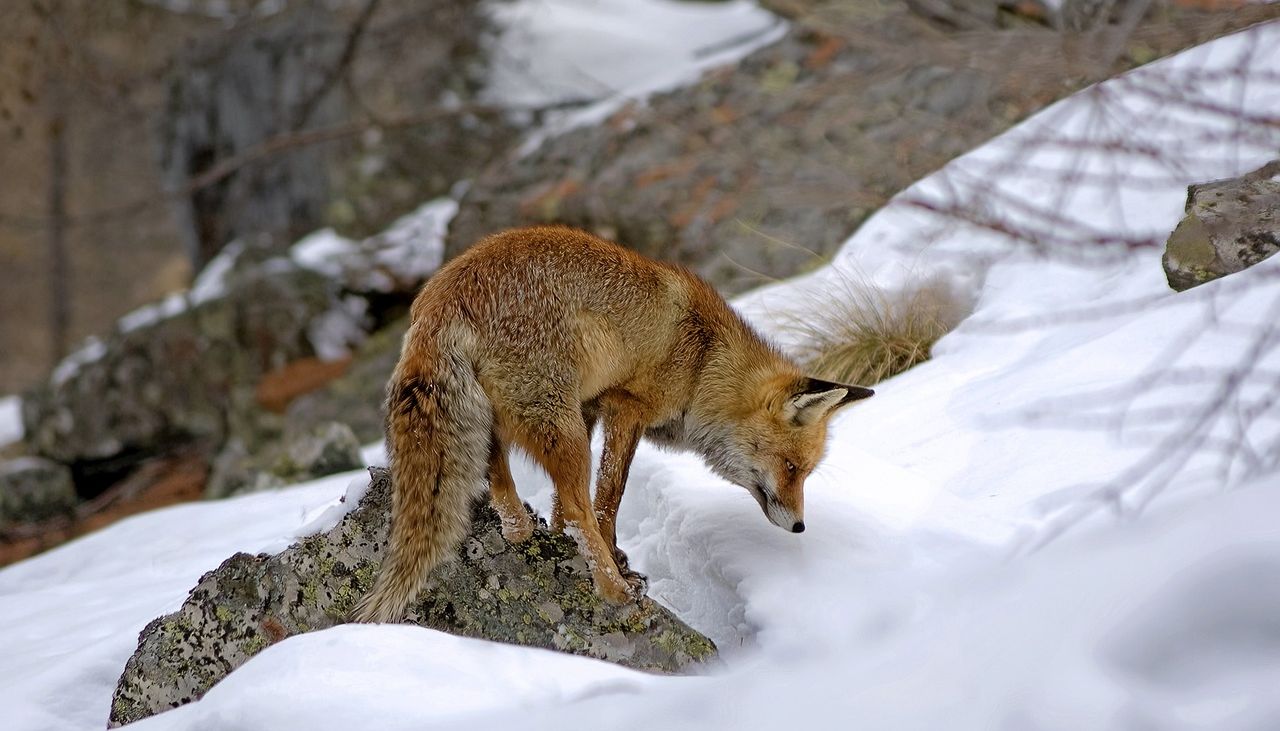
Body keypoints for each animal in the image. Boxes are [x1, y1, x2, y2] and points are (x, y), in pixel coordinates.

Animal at [351, 226, 873, 623]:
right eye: (791, 467)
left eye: (804, 472)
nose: (801, 526)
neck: (704, 362)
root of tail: (440, 299)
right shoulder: (626, 406)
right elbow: (607, 499)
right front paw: (615, 562)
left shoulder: (591, 405)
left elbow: (568, 506)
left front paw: (568, 538)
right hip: (562, 428)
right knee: (579, 506)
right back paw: (614, 591)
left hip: (518, 416)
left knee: (497, 468)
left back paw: (519, 527)